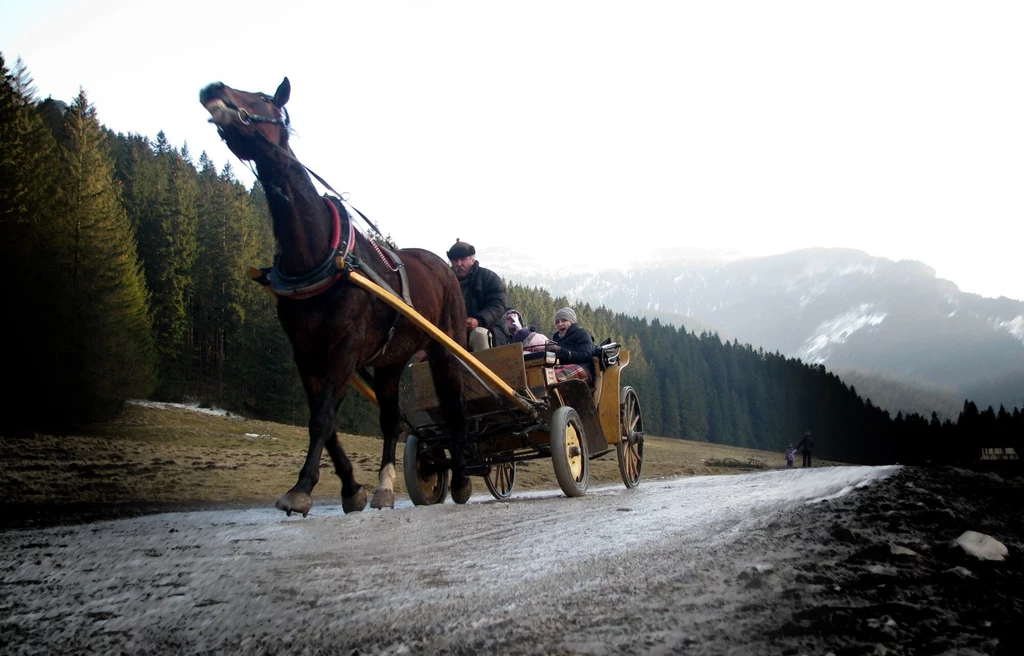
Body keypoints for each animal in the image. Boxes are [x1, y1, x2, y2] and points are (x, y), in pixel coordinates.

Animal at [197, 76, 473, 513]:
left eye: (262, 98)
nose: (213, 87)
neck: (318, 257)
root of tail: (443, 266)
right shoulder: (305, 353)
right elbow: (323, 422)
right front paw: (351, 488)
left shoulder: (346, 348)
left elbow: (323, 417)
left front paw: (302, 487)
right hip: (389, 363)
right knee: (391, 419)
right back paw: (384, 486)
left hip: (445, 348)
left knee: (455, 407)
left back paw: (461, 479)